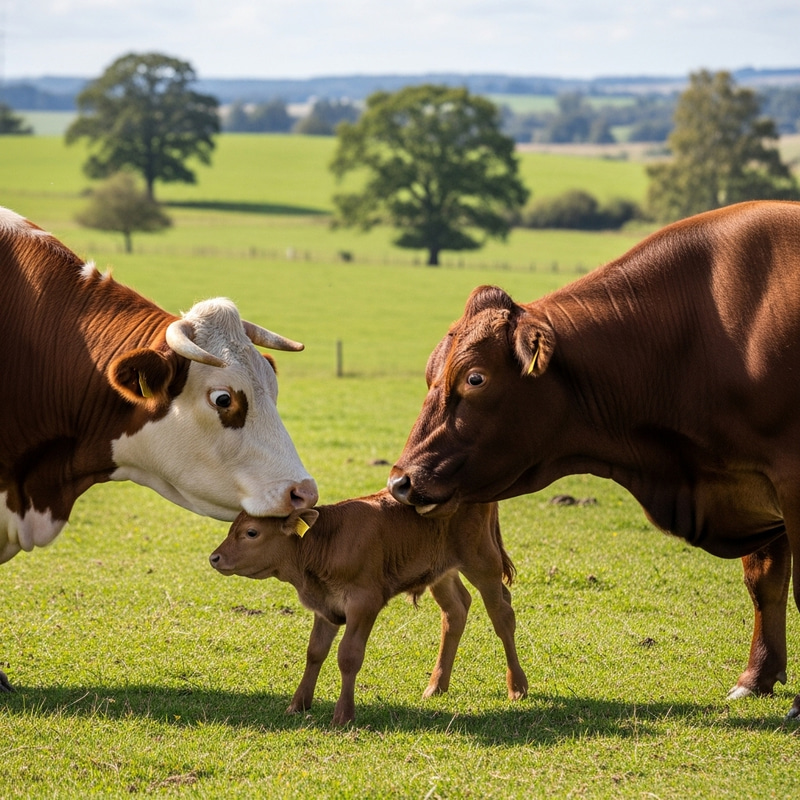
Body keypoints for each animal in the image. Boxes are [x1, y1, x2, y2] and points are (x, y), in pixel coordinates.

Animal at [209, 490, 527, 725]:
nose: (215, 558)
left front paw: (343, 715)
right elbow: (315, 652)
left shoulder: (364, 603)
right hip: (440, 571)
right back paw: (436, 686)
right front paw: (298, 704)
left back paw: (517, 686)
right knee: (456, 610)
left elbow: (349, 656)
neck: (326, 542)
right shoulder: (325, 606)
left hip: (482, 560)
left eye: (251, 532)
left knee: (502, 615)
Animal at [387, 200, 800, 718]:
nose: (400, 482)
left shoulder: (788, 480)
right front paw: (757, 677)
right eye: (430, 373)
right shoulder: (753, 482)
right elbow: (764, 582)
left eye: (475, 378)